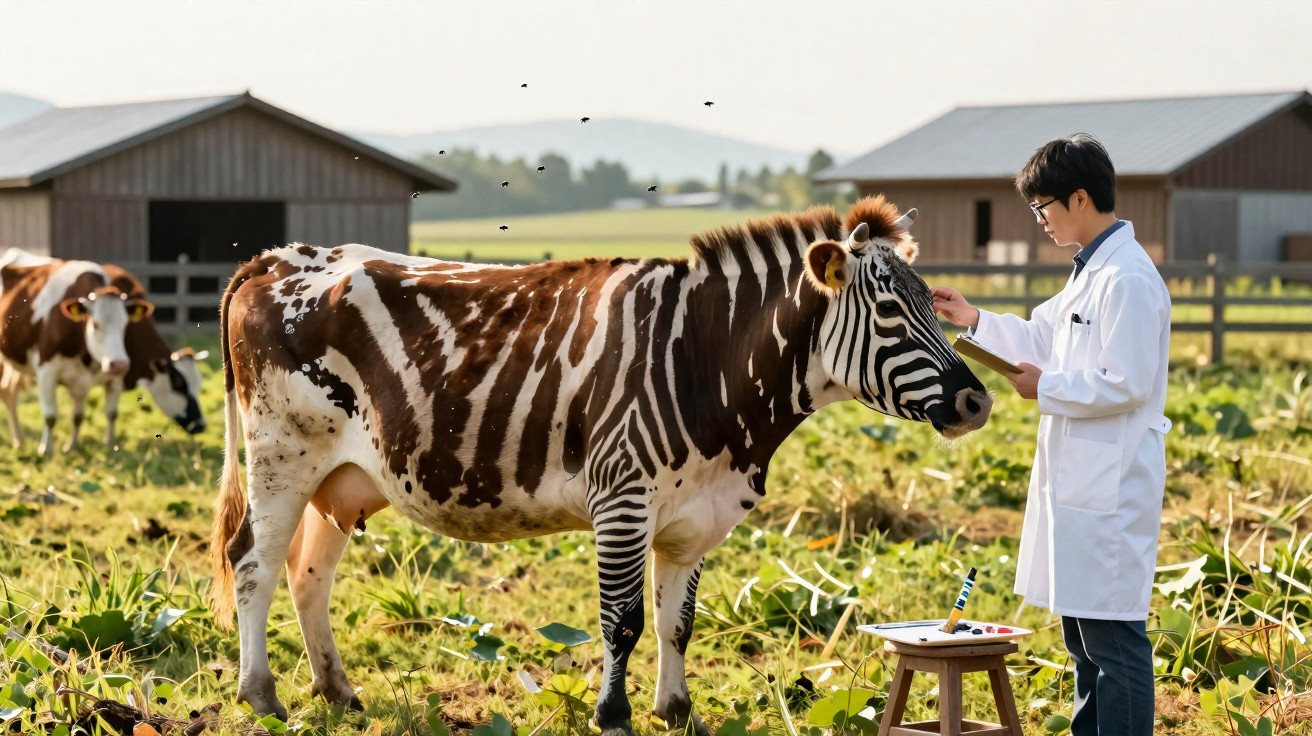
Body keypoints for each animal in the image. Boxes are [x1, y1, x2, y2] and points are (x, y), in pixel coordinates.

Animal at [209, 196, 992, 735]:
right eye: (891, 313)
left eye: (935, 303)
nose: (977, 400)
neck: (704, 361)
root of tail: (273, 258)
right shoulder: (622, 499)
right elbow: (622, 620)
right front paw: (612, 714)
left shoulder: (695, 515)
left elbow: (678, 621)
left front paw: (677, 711)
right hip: (282, 454)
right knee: (252, 563)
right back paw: (262, 698)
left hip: (341, 480)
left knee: (307, 574)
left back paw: (337, 693)